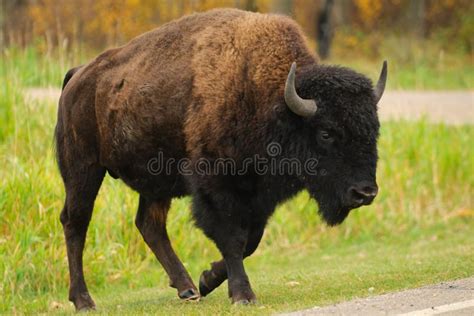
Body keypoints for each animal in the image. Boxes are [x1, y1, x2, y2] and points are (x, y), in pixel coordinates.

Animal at [55, 8, 386, 310]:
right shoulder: (217, 188)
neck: (272, 100)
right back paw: (83, 300)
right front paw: (243, 295)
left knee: (149, 224)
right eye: (327, 132)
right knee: (76, 222)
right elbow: (233, 238)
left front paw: (208, 278)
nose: (365, 193)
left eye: (374, 129)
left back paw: (188, 288)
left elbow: (251, 240)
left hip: (154, 182)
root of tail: (78, 76)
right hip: (83, 169)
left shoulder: (258, 197)